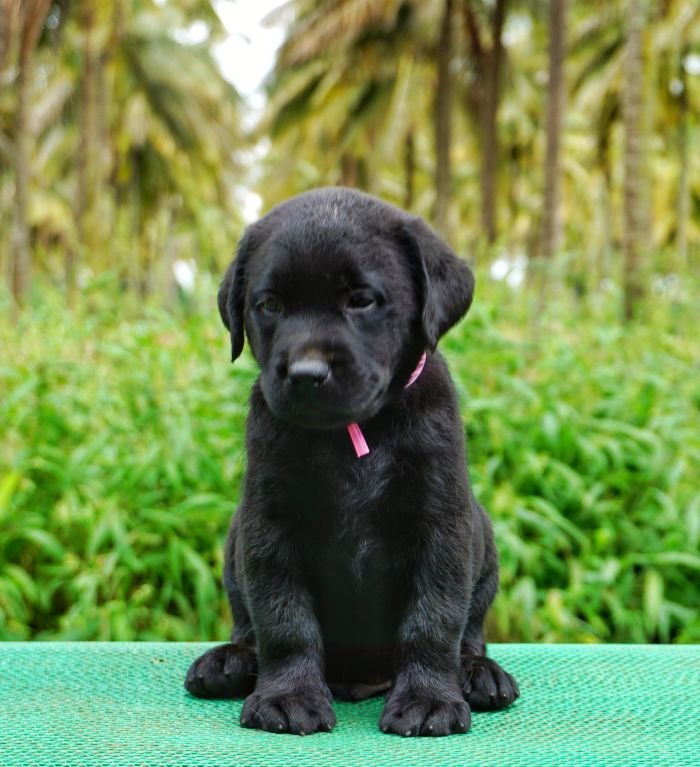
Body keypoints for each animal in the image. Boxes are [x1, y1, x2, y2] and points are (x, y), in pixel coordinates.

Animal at [183, 188, 516, 736]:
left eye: (361, 300)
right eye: (269, 305)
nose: (306, 373)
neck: (351, 434)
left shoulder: (441, 524)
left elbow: (433, 619)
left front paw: (427, 699)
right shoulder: (270, 525)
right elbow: (284, 620)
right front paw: (288, 696)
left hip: (481, 535)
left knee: (469, 631)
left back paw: (477, 672)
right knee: (249, 626)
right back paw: (231, 661)